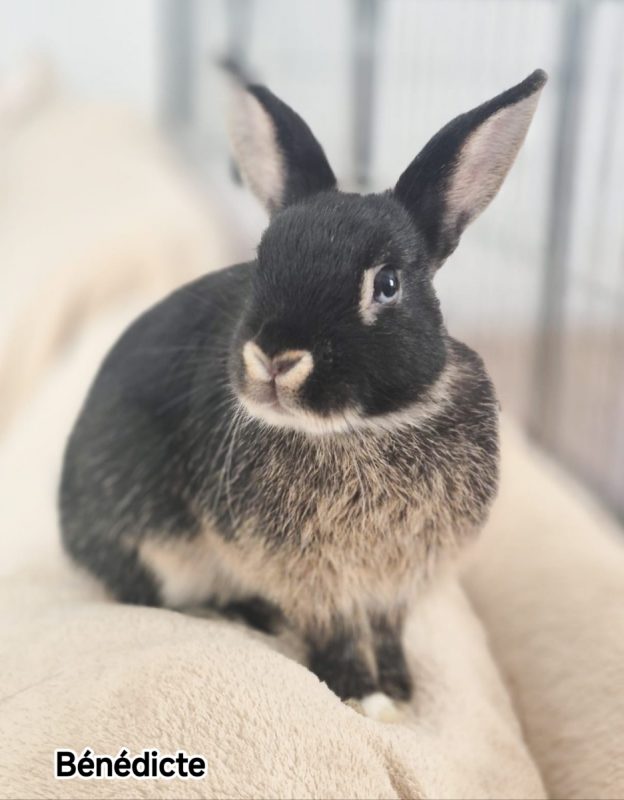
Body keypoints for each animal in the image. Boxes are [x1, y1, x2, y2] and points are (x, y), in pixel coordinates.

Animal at [60, 68, 547, 720]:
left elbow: (388, 629)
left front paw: (401, 689)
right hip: (149, 538)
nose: (274, 357)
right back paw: (246, 614)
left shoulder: (403, 577)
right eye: (262, 262)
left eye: (387, 284)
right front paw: (361, 695)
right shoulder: (306, 575)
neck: (360, 429)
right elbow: (333, 631)